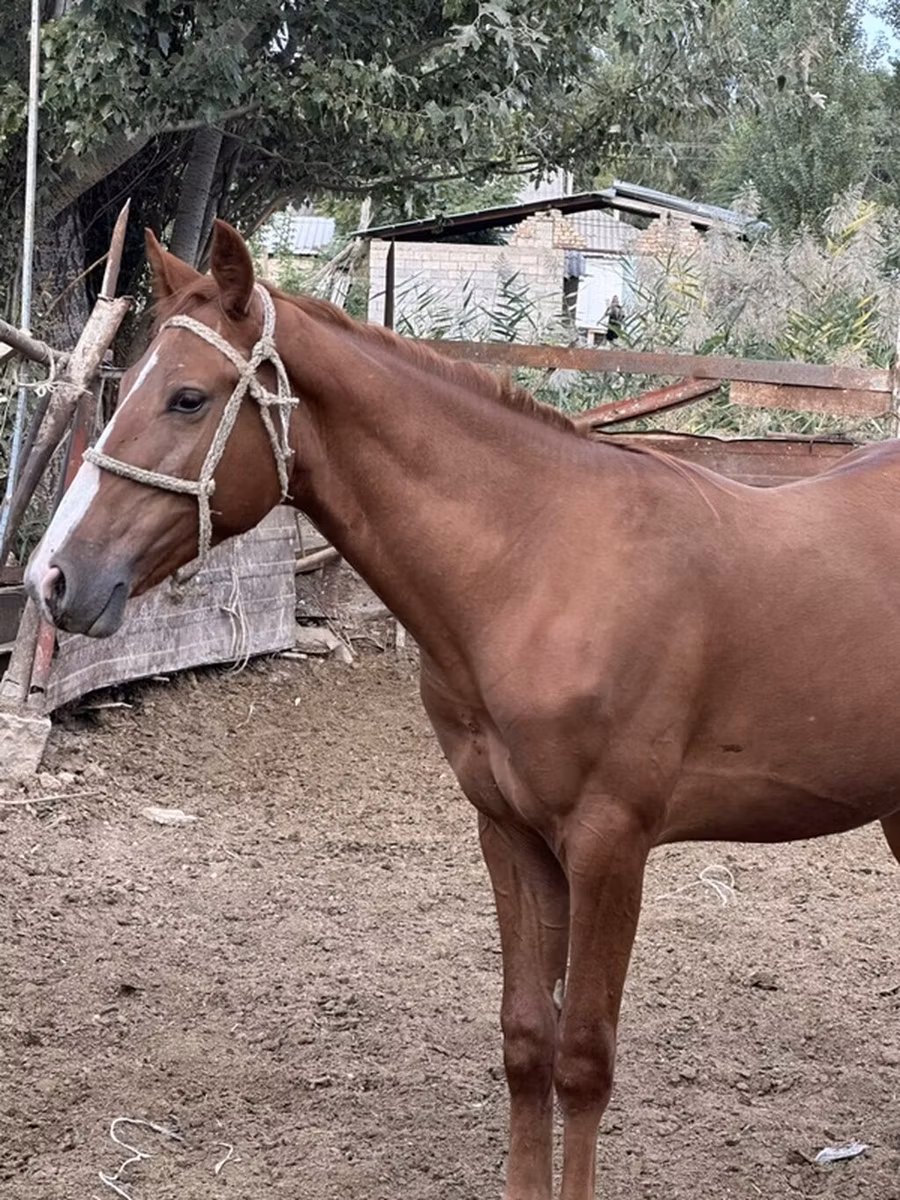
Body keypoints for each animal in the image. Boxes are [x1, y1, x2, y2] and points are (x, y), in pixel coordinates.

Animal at [25, 220, 900, 1200]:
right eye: (129, 383)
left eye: (186, 397)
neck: (539, 567)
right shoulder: (509, 834)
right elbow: (526, 1043)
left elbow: (582, 1060)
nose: (55, 577)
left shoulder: (610, 846)